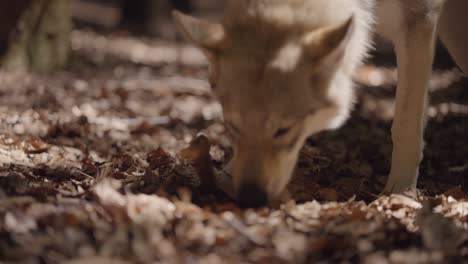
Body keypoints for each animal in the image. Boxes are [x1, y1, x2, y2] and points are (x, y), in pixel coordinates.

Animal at [172, 0, 468, 206]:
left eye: (283, 130)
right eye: (233, 126)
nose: (249, 198)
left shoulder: (418, 21)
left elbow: (405, 125)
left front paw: (400, 192)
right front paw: (229, 171)